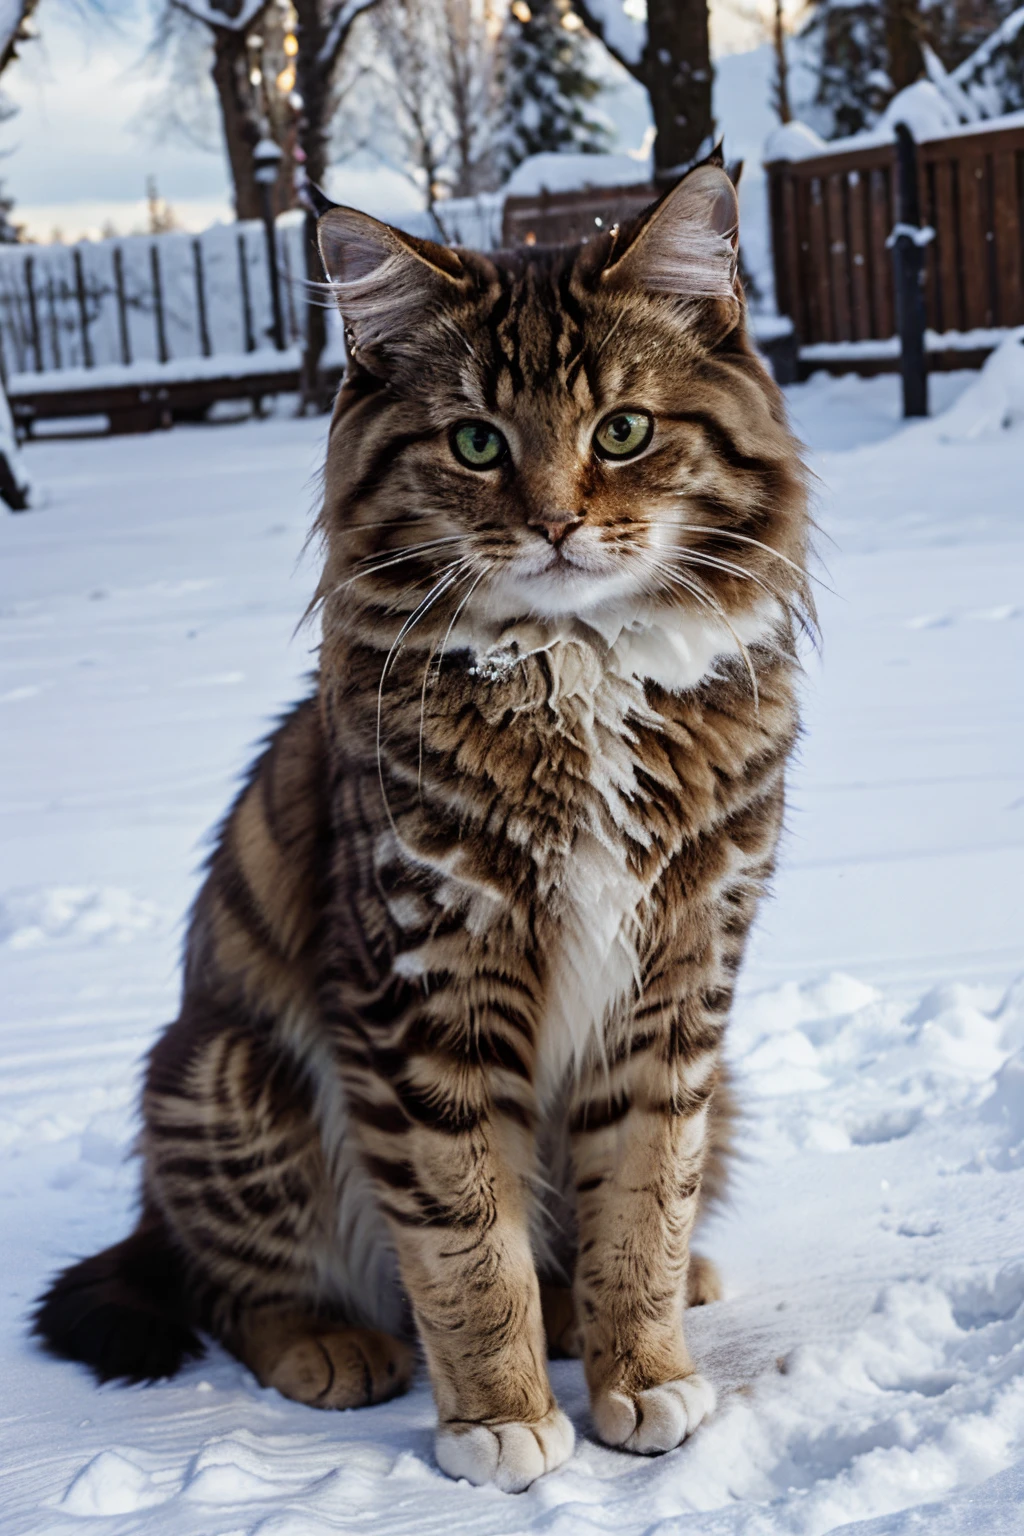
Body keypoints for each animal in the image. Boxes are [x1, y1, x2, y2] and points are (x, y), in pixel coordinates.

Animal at [36, 162, 810, 1492]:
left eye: (622, 431)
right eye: (476, 442)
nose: (554, 523)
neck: (576, 672)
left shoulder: (676, 988)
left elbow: (642, 1204)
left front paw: (641, 1372)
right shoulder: (422, 992)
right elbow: (463, 1237)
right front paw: (498, 1419)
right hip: (229, 1079)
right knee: (228, 1287)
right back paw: (333, 1348)